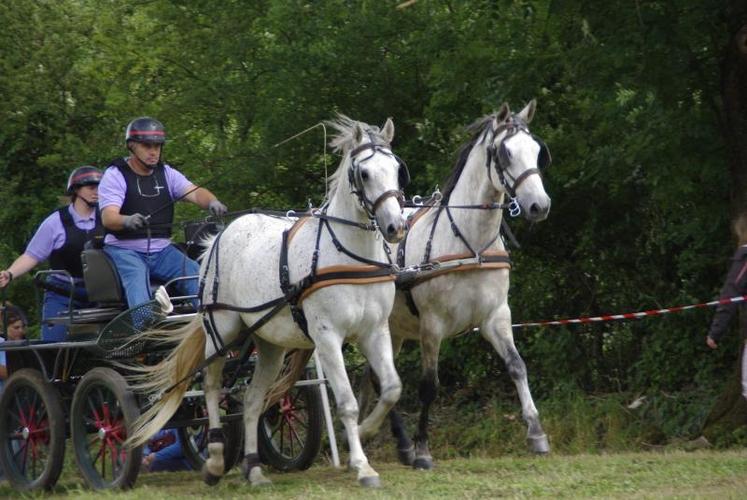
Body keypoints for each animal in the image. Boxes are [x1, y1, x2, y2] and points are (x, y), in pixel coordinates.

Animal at [128, 115, 410, 486]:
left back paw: (254, 467)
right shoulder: (327, 338)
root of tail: (218, 237)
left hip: (269, 343)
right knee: (211, 388)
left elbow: (392, 388)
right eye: (364, 173)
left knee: (251, 399)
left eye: (396, 169)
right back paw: (215, 461)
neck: (348, 255)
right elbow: (347, 403)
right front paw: (362, 466)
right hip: (221, 331)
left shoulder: (375, 332)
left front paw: (367, 431)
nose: (395, 227)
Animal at [360, 100, 552, 468]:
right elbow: (429, 386)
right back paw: (401, 443)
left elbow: (517, 366)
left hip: (392, 330)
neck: (469, 243)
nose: (539, 205)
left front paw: (536, 432)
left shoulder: (496, 317)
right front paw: (423, 448)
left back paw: (392, 441)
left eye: (537, 151)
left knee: (378, 378)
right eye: (505, 152)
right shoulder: (432, 325)